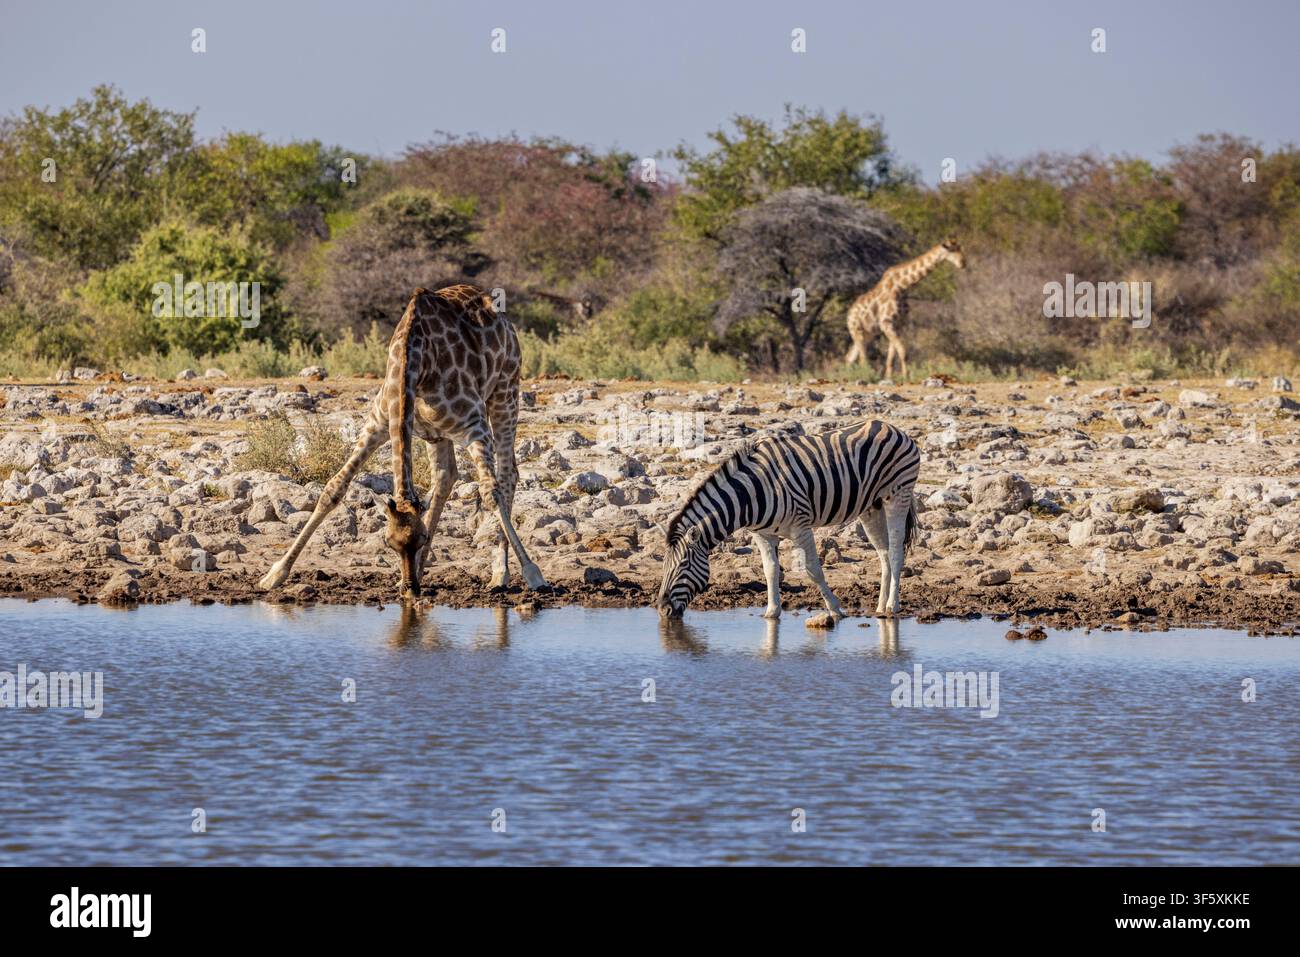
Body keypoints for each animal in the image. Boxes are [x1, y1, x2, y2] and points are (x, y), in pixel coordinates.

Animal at [257, 284, 547, 599]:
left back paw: (500, 573)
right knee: (445, 477)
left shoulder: (474, 426)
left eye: (423, 538)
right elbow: (333, 488)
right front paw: (275, 574)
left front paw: (533, 572)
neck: (415, 360)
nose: (410, 591)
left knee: (507, 475)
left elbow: (490, 492)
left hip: (505, 390)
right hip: (438, 433)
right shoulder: (379, 423)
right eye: (389, 543)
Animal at [656, 420, 921, 621]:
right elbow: (770, 571)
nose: (662, 610)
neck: (750, 495)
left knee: (896, 551)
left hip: (898, 494)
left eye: (683, 565)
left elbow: (814, 570)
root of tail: (891, 427)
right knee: (883, 553)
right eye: (664, 565)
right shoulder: (762, 534)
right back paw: (880, 606)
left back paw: (892, 606)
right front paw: (772, 612)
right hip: (871, 506)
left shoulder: (801, 527)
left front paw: (835, 609)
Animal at [845, 239, 966, 379]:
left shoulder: (898, 324)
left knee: (850, 357)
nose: (963, 263)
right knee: (862, 359)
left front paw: (890, 378)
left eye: (960, 248)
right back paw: (864, 376)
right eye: (951, 250)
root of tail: (849, 314)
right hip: (856, 330)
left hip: (867, 334)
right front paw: (906, 377)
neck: (902, 287)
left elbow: (892, 357)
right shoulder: (886, 322)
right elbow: (903, 351)